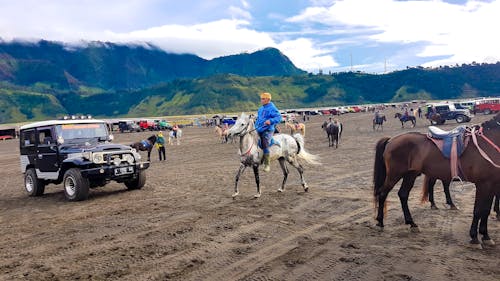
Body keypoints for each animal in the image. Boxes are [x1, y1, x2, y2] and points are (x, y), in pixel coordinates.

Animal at [374, 112, 500, 246]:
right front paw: (474, 237)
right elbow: (478, 210)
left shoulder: (492, 184)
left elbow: (485, 210)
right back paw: (380, 222)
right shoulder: (483, 184)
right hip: (394, 175)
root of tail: (391, 140)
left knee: (403, 195)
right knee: (383, 193)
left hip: (410, 175)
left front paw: (486, 236)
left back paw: (412, 223)